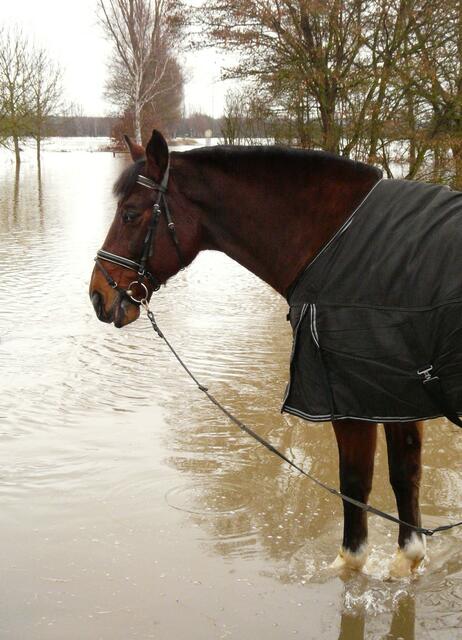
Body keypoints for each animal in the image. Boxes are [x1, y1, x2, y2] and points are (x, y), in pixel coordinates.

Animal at [90, 129, 437, 578]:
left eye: (130, 214)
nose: (98, 293)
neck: (339, 242)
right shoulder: (394, 396)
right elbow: (405, 475)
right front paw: (405, 562)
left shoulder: (350, 401)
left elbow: (355, 486)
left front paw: (350, 566)